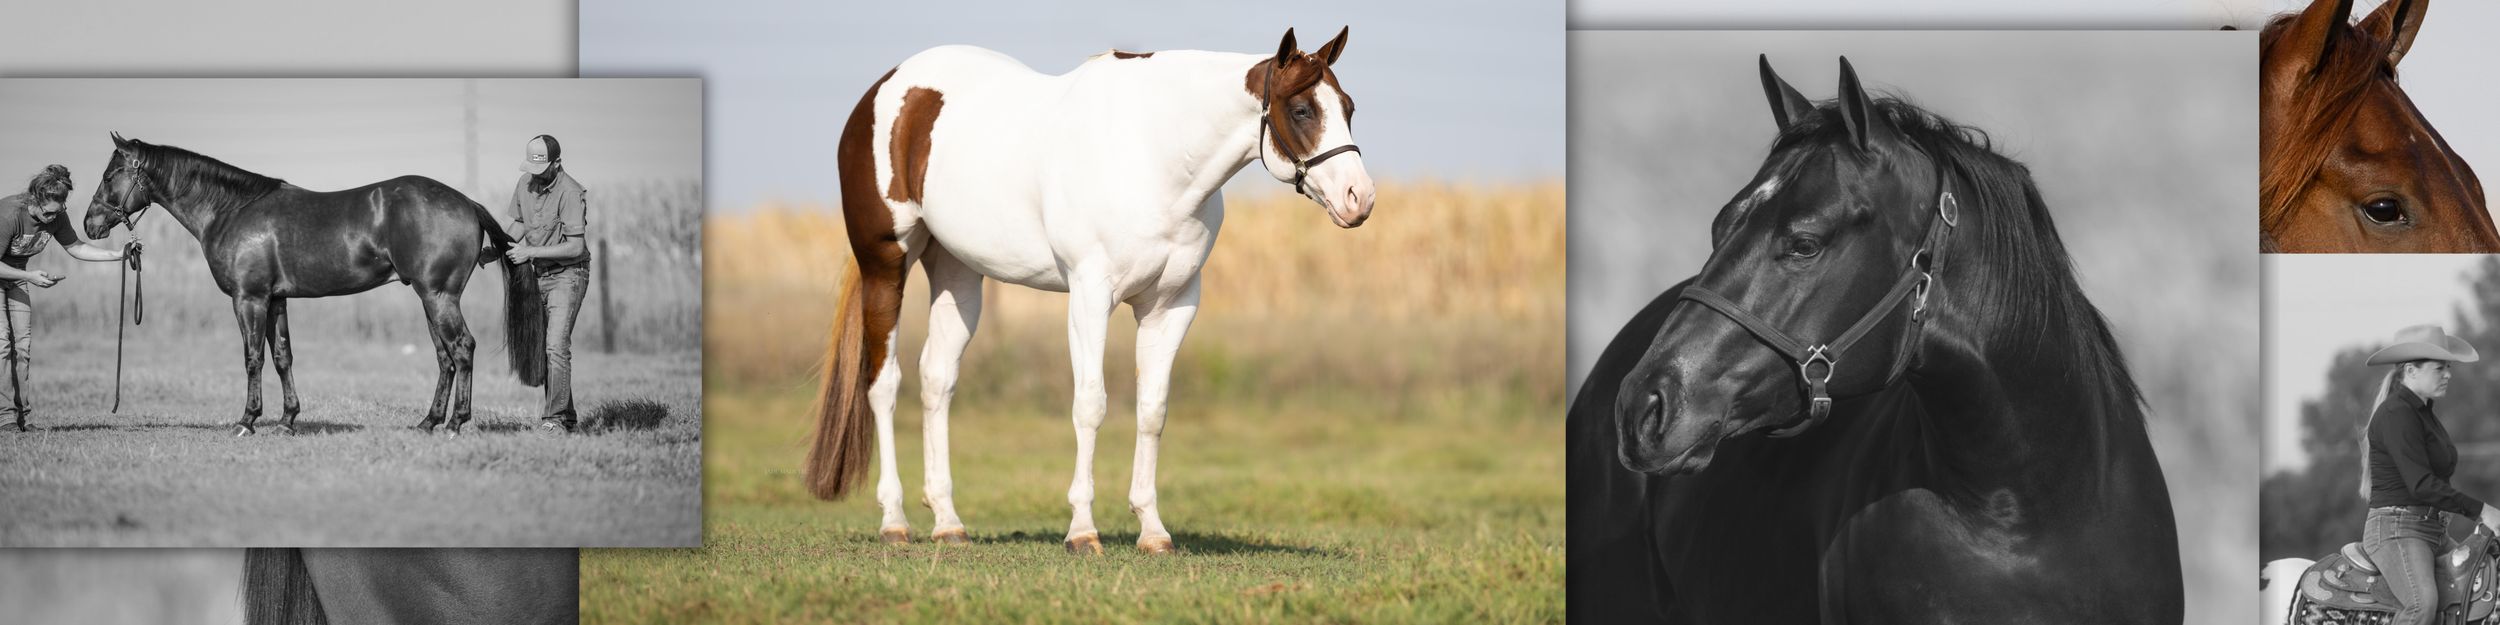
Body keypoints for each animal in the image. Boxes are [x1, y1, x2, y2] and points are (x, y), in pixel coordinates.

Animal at [83, 133, 544, 436]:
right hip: (430, 298)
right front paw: (287, 420)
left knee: (462, 349)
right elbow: (283, 357)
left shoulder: (249, 299)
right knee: (444, 356)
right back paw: (428, 422)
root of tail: (466, 202)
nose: (90, 224)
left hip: (439, 296)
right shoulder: (275, 300)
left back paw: (455, 423)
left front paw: (247, 421)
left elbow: (253, 358)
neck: (232, 210)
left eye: (110, 175)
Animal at [801, 27, 1374, 555]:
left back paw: (948, 523)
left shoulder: (1172, 305)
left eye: (1347, 107)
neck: (1153, 154)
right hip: (885, 264)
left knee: (937, 380)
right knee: (883, 383)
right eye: (1301, 109)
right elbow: (1091, 404)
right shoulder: (1090, 296)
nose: (1360, 199)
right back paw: (894, 522)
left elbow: (1153, 409)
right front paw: (1082, 531)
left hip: (956, 271)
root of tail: (887, 88)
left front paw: (1153, 531)